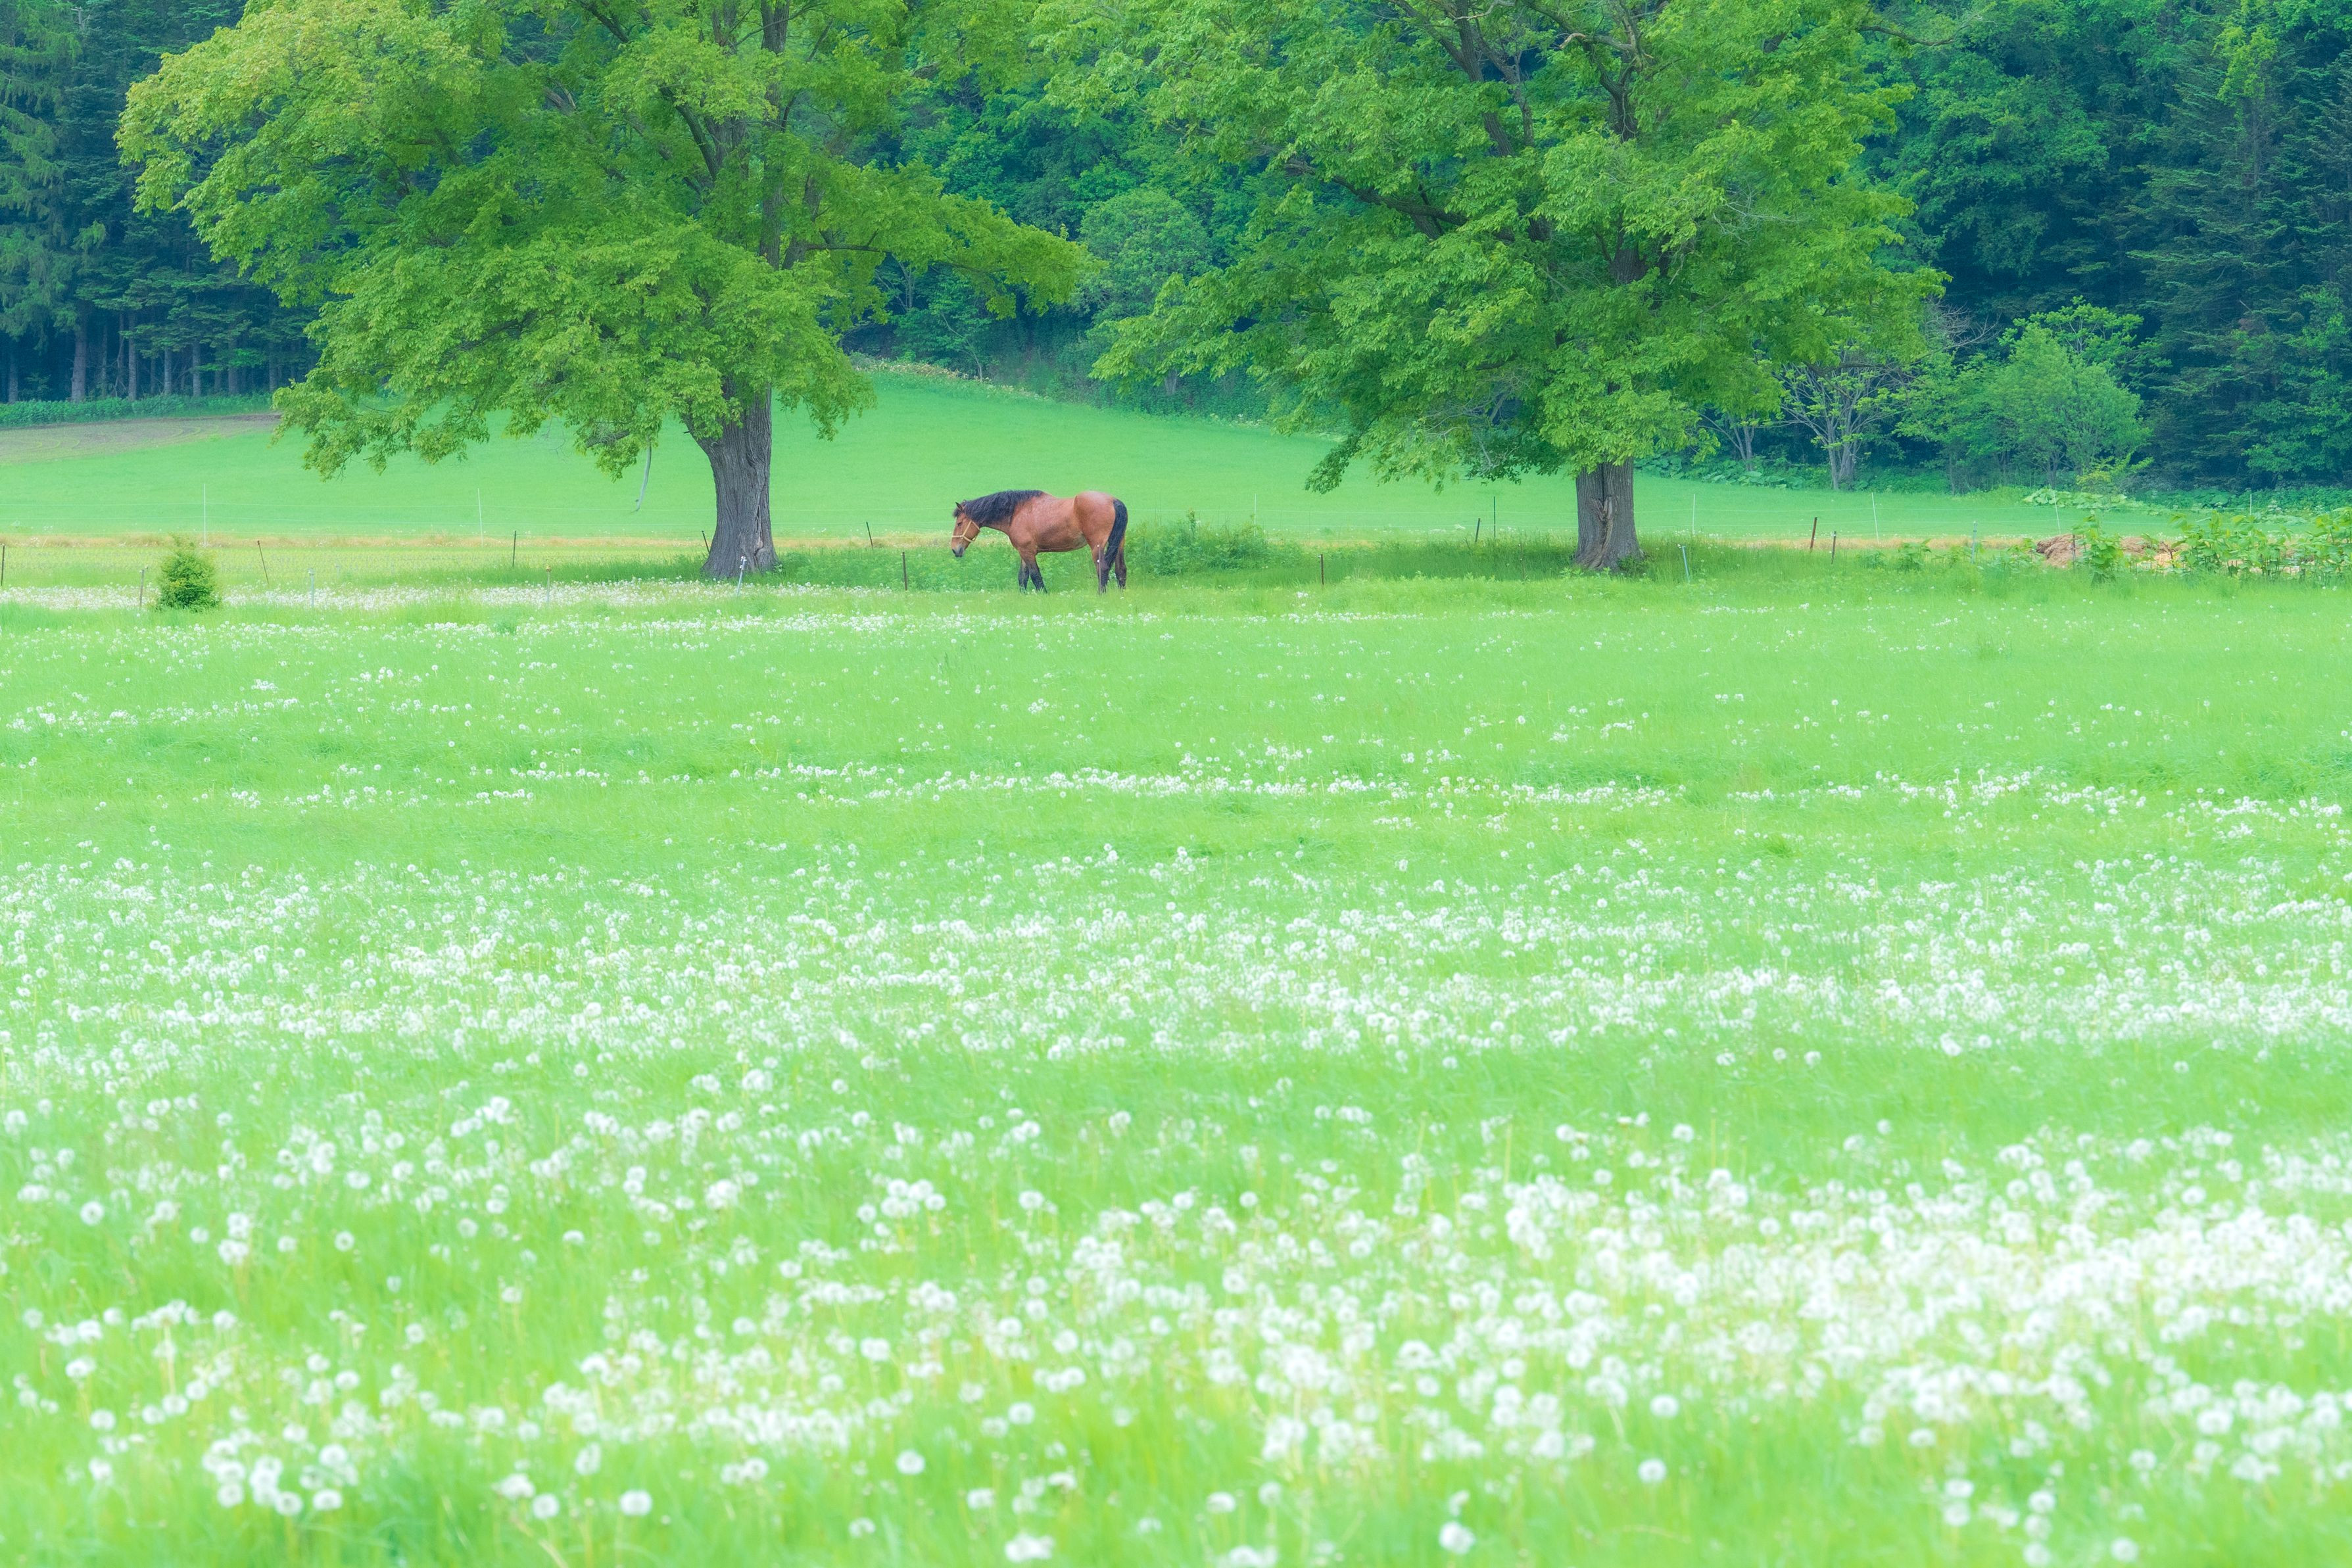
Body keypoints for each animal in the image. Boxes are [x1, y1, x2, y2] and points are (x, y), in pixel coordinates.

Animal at [950, 489, 1129, 593]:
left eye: (959, 523)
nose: (954, 549)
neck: (1017, 512)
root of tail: (1113, 501)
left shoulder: (1028, 552)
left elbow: (1036, 577)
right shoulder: (1024, 553)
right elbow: (1022, 578)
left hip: (1097, 546)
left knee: (1103, 569)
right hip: (1119, 544)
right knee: (1121, 570)